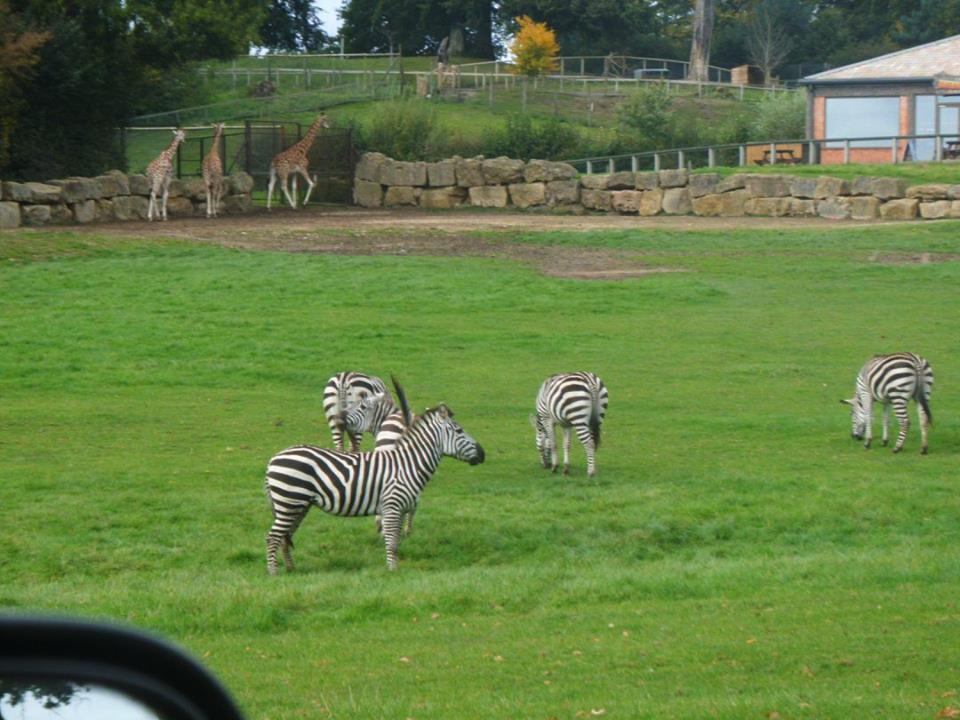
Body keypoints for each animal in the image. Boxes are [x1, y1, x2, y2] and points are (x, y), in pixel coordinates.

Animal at [264, 403, 485, 572]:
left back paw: (291, 569)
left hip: (299, 505)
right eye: (459, 431)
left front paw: (395, 567)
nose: (483, 454)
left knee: (284, 537)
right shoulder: (393, 505)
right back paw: (274, 573)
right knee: (273, 537)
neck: (408, 465)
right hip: (289, 501)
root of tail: (273, 459)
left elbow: (396, 541)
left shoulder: (401, 509)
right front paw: (392, 571)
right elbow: (392, 541)